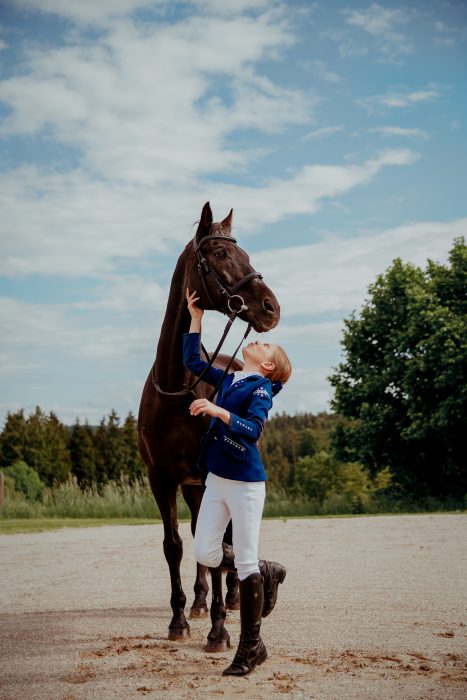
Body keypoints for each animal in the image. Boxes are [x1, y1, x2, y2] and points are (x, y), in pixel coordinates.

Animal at [137, 201, 280, 652]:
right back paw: (201, 603)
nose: (270, 307)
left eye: (244, 253)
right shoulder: (162, 480)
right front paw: (179, 619)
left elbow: (217, 546)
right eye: (220, 254)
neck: (177, 386)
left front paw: (219, 631)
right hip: (191, 487)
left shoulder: (209, 475)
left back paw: (231, 598)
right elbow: (176, 546)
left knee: (229, 538)